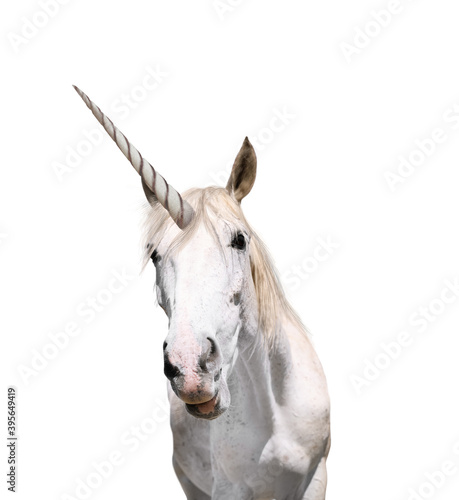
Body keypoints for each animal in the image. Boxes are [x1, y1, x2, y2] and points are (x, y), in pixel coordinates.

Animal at [74, 87, 330, 500]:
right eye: (155, 253)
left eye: (239, 240)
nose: (190, 368)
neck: (273, 411)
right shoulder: (225, 488)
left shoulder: (316, 475)